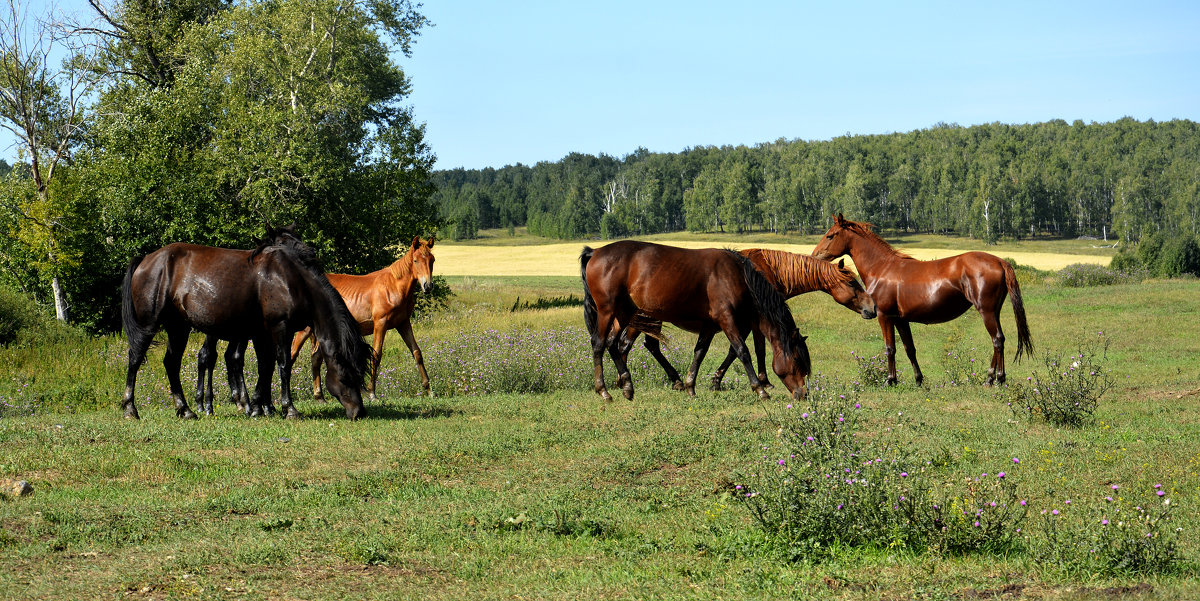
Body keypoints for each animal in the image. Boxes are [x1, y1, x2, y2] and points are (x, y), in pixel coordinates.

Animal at [120, 226, 369, 419]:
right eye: (345, 376)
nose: (359, 412)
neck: (292, 280)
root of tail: (146, 259)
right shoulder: (280, 328)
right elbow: (283, 364)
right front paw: (287, 409)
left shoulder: (262, 333)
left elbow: (265, 366)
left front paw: (260, 407)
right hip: (149, 325)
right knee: (136, 358)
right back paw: (131, 409)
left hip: (178, 327)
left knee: (172, 362)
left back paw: (186, 410)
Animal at [288, 236, 439, 400]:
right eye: (416, 260)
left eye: (432, 260)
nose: (428, 285)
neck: (394, 287)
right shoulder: (380, 324)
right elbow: (376, 355)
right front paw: (371, 392)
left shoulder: (403, 324)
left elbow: (417, 352)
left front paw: (429, 390)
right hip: (305, 330)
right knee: (292, 354)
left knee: (315, 358)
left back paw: (319, 396)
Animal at [578, 239, 811, 403]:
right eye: (797, 360)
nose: (803, 394)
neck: (738, 277)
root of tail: (595, 252)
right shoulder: (727, 320)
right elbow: (742, 351)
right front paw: (760, 389)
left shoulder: (709, 325)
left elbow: (699, 353)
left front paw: (690, 386)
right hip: (608, 311)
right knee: (599, 344)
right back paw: (604, 391)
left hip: (624, 313)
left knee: (613, 344)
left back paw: (628, 386)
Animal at [614, 248, 878, 388]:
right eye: (852, 283)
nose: (872, 308)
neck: (767, 271)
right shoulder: (752, 321)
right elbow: (751, 350)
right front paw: (762, 381)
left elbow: (739, 350)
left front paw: (717, 380)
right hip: (645, 320)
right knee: (629, 345)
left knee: (636, 345)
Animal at [806, 213, 1032, 386]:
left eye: (830, 235)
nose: (814, 255)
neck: (882, 268)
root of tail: (1000, 261)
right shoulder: (901, 319)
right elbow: (910, 349)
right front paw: (918, 379)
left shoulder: (885, 316)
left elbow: (890, 349)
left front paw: (890, 380)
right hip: (993, 311)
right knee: (998, 340)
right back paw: (991, 377)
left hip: (986, 311)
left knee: (997, 340)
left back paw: (998, 379)